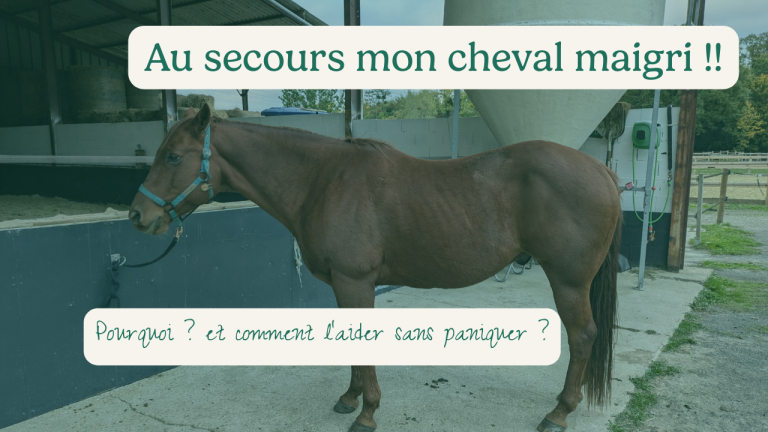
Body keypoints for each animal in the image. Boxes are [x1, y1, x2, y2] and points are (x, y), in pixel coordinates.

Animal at [129, 104, 622, 432]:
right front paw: (350, 399)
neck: (322, 181)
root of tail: (602, 171)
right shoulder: (343, 285)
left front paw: (367, 414)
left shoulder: (355, 282)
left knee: (582, 337)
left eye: (173, 156)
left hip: (568, 281)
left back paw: (558, 413)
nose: (137, 216)